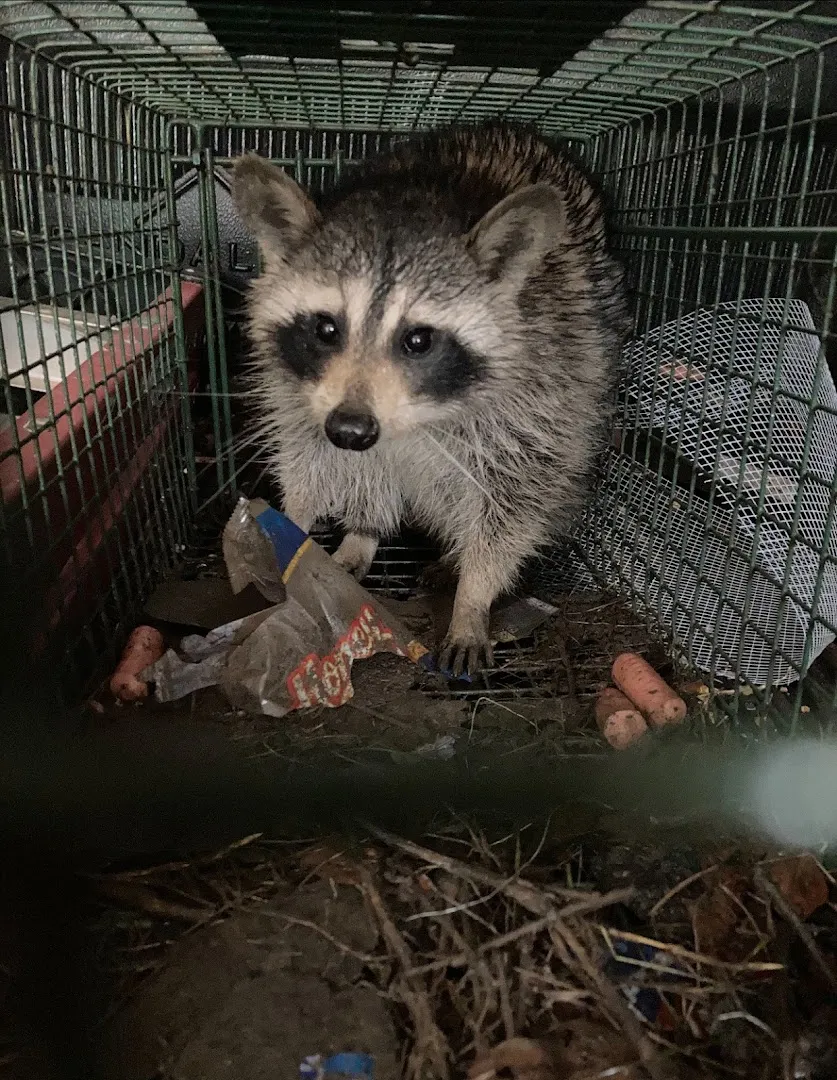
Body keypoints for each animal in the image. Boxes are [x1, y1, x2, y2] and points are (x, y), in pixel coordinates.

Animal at [231, 121, 630, 677]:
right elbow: (310, 458)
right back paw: (364, 533)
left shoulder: (544, 392)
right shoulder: (301, 395)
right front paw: (296, 524)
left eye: (418, 340)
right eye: (326, 328)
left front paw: (473, 597)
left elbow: (513, 500)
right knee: (370, 477)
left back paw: (449, 557)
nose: (352, 429)